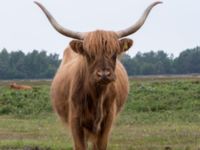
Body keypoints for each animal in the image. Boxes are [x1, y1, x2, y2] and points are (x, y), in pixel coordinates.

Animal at [35, 1, 162, 150]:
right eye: (89, 54)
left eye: (114, 53)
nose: (104, 74)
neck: (96, 95)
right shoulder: (75, 120)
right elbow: (80, 145)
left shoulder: (107, 120)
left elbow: (101, 145)